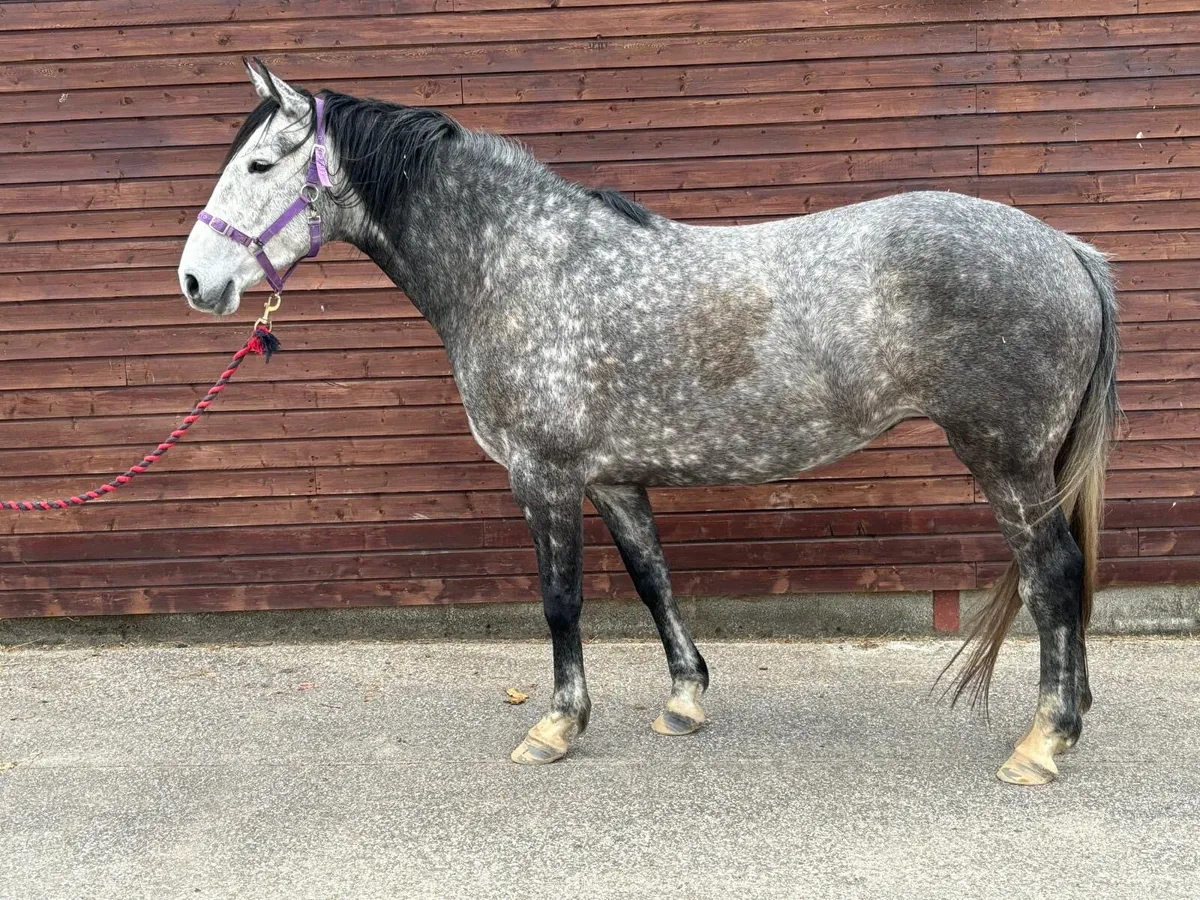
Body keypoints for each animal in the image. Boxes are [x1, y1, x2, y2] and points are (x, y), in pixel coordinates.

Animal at [178, 60, 1120, 785]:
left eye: (259, 165)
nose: (195, 282)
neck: (521, 265)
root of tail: (1068, 250)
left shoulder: (545, 475)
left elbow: (561, 601)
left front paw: (557, 726)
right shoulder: (615, 480)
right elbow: (652, 580)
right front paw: (684, 699)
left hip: (1006, 462)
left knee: (1053, 577)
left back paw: (1044, 741)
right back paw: (1066, 717)